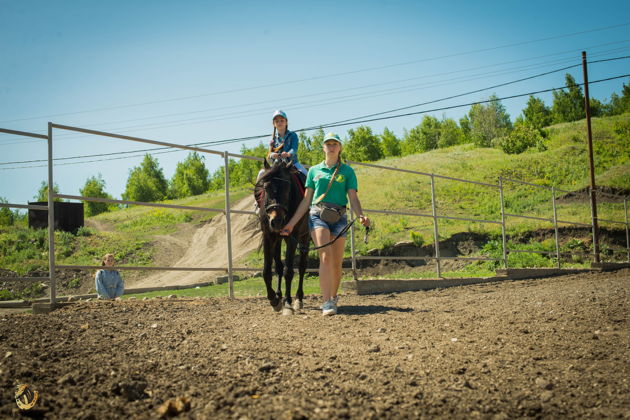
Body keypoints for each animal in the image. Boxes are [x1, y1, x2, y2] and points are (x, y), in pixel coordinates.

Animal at [253, 158, 310, 316]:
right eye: (265, 187)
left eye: (287, 187)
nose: (276, 221)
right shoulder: (269, 236)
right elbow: (267, 271)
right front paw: (274, 299)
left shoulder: (292, 237)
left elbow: (288, 271)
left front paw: (288, 303)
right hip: (278, 239)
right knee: (278, 266)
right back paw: (279, 295)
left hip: (305, 237)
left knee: (302, 266)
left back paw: (298, 299)